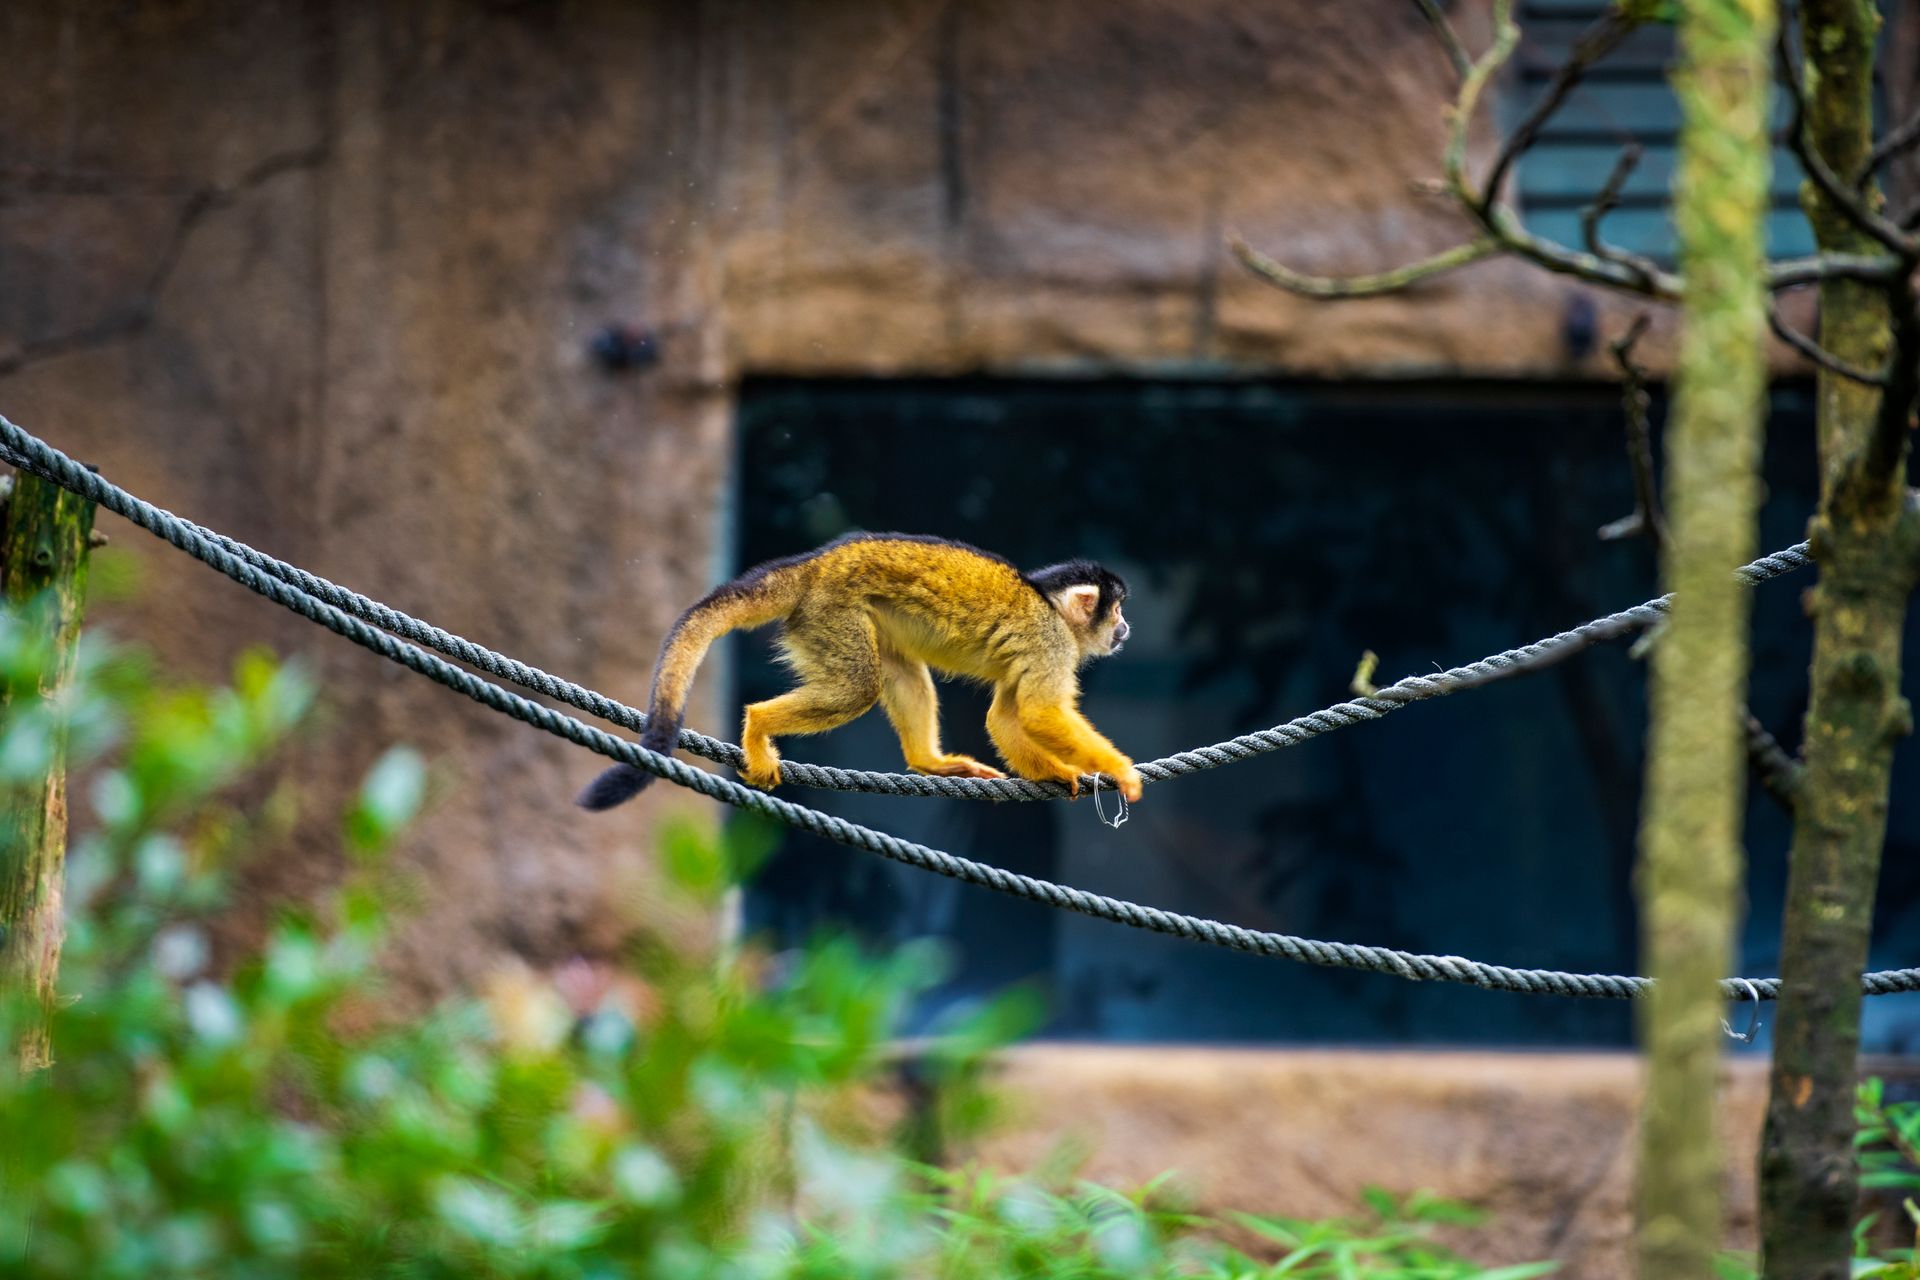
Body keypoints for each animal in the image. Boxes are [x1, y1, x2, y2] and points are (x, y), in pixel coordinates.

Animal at [576, 533, 1142, 811]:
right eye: (1114, 610)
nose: (1125, 628)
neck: (1051, 607)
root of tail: (811, 565)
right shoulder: (1050, 642)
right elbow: (1041, 712)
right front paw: (1119, 771)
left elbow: (1006, 718)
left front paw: (1061, 772)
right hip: (830, 613)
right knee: (857, 688)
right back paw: (758, 726)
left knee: (898, 670)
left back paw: (929, 762)